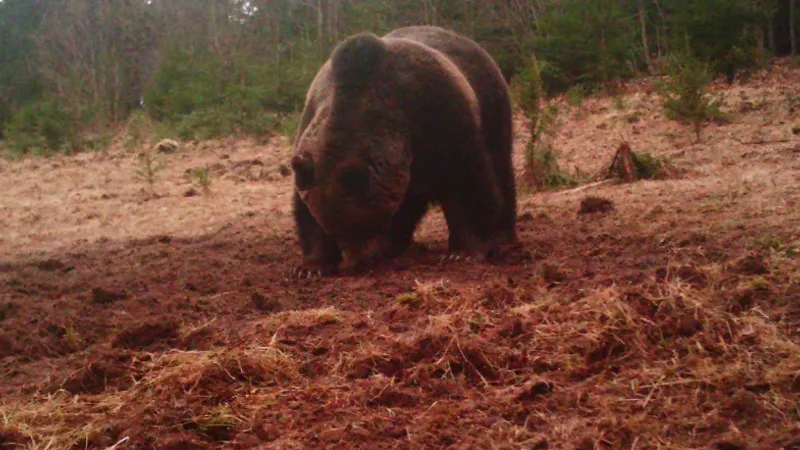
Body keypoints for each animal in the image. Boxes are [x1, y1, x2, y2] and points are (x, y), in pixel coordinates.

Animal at [290, 25, 516, 278]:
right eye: (334, 230)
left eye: (361, 226)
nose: (352, 264)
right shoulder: (312, 126)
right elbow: (305, 212)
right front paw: (312, 266)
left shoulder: (441, 114)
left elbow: (467, 183)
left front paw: (464, 252)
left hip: (492, 109)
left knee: (501, 168)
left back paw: (504, 237)